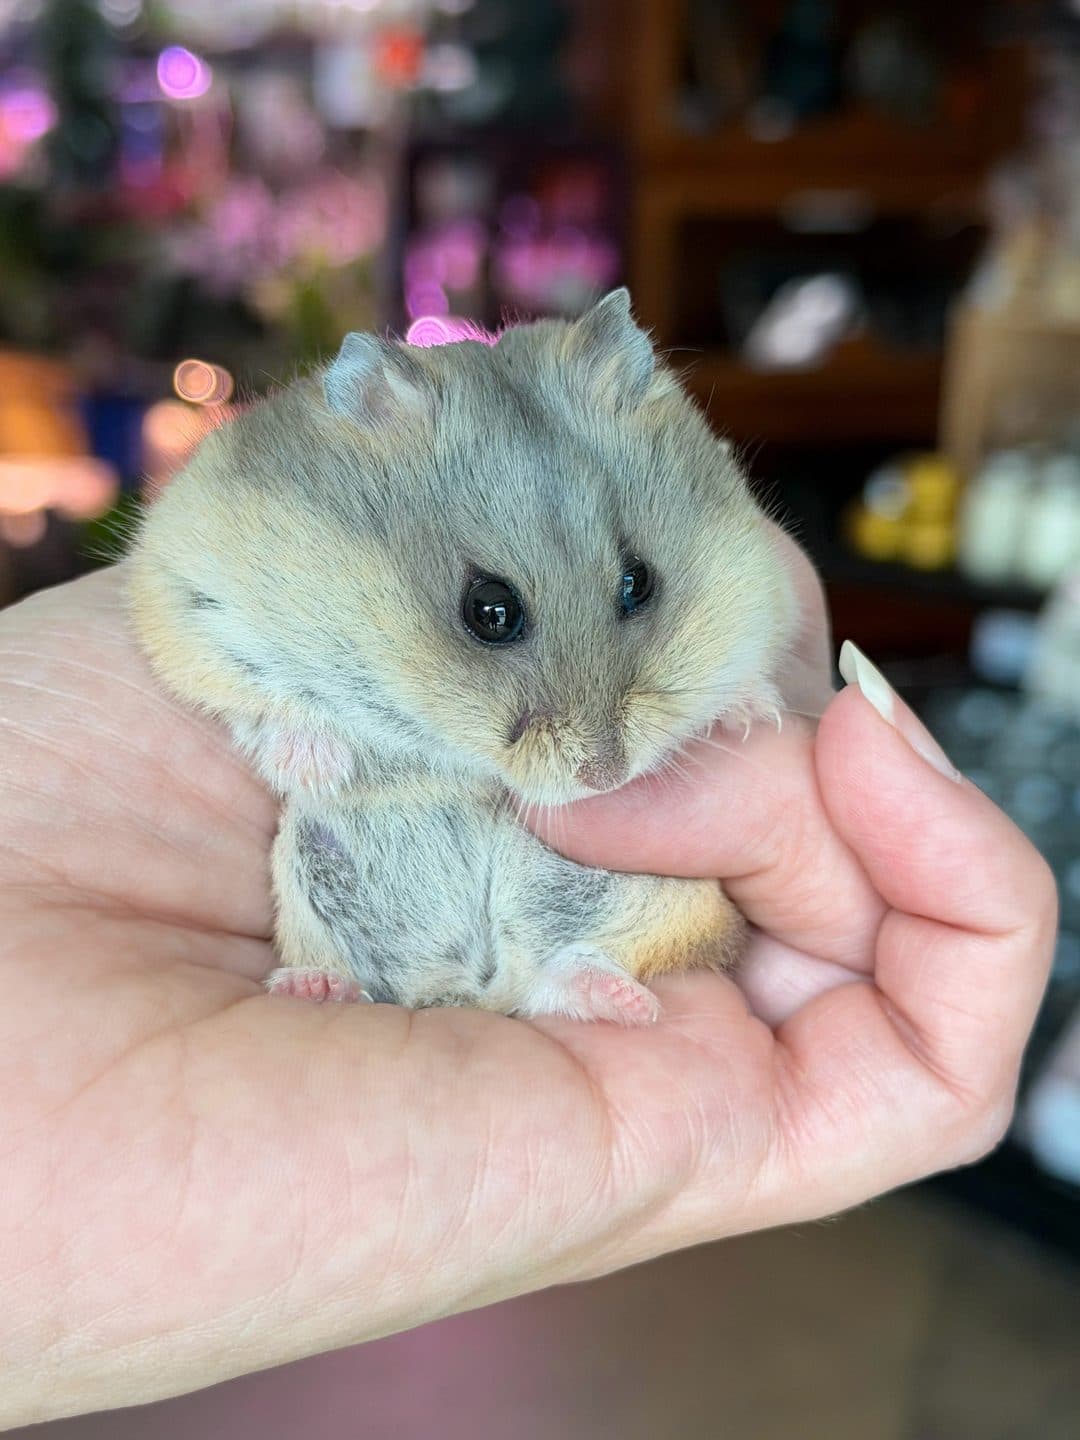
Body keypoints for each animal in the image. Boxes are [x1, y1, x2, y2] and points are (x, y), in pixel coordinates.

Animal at [127, 289, 796, 1024]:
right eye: (490, 611)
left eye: (637, 583)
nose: (605, 780)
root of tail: (468, 988)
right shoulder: (184, 601)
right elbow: (261, 698)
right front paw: (316, 765)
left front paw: (755, 715)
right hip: (305, 873)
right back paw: (314, 986)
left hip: (667, 902)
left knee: (556, 976)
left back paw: (621, 1000)